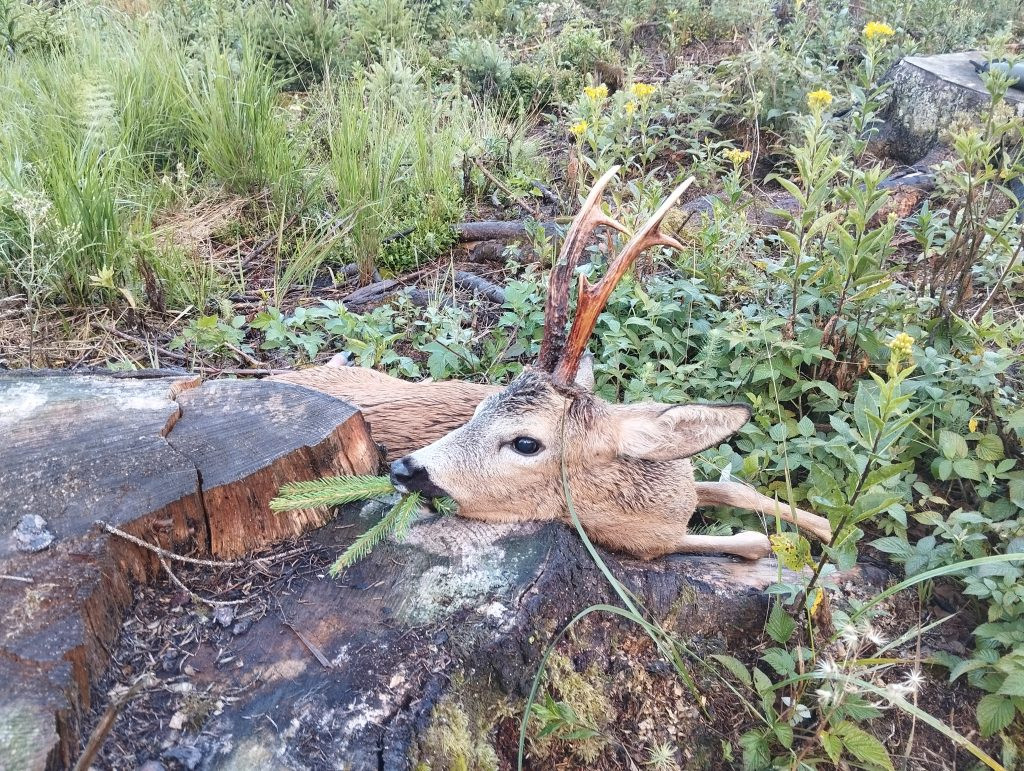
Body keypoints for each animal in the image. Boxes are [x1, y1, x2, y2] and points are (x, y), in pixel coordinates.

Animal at [272, 165, 831, 561]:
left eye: (526, 442)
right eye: (478, 412)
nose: (403, 467)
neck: (665, 507)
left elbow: (742, 491)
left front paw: (826, 527)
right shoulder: (644, 545)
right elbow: (753, 540)